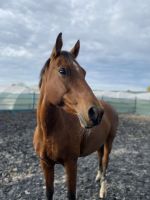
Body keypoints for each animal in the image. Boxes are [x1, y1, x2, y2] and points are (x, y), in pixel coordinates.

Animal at [33, 33, 119, 200]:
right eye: (62, 71)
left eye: (84, 72)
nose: (96, 112)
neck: (49, 131)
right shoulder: (46, 164)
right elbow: (49, 192)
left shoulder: (71, 164)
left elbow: (71, 195)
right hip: (99, 144)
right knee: (100, 160)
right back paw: (98, 178)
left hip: (108, 143)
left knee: (105, 163)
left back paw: (102, 190)